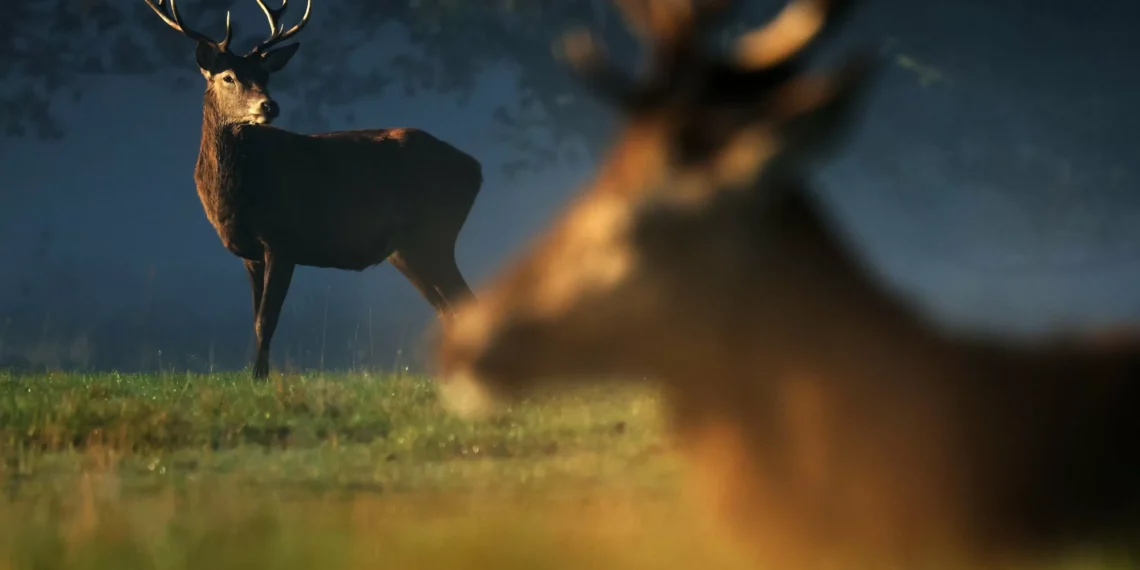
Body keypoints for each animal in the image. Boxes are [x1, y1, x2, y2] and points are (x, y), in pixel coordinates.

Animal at [143, 0, 483, 379]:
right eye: (228, 76)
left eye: (265, 75)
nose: (269, 105)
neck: (236, 196)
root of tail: (476, 168)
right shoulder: (250, 254)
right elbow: (255, 317)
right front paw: (257, 374)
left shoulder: (283, 239)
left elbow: (266, 319)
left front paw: (259, 376)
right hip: (407, 250)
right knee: (449, 309)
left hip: (434, 234)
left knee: (465, 303)